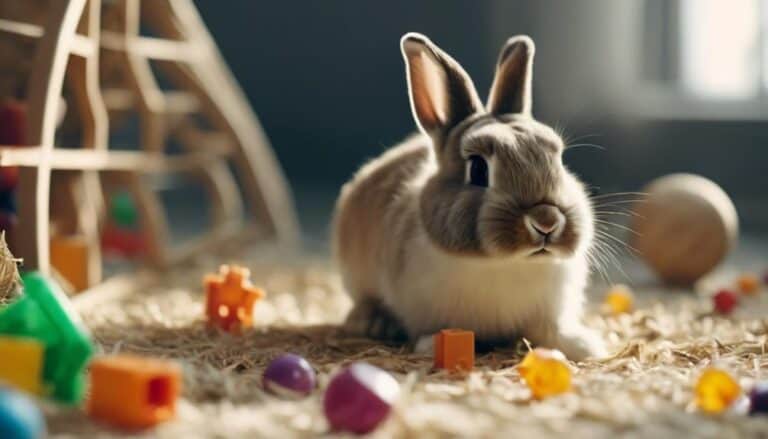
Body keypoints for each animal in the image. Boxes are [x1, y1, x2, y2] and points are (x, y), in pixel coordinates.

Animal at [332, 32, 606, 361]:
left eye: (560, 159)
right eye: (477, 169)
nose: (546, 221)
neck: (505, 263)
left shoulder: (547, 315)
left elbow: (551, 332)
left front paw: (586, 347)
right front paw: (430, 347)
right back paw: (372, 322)